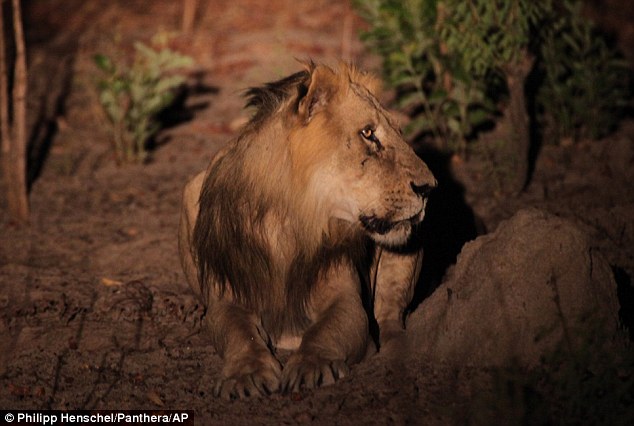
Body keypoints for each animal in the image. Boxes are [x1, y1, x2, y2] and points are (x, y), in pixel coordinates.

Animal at [178, 60, 434, 400]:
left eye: (399, 132)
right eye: (368, 133)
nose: (429, 187)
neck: (291, 220)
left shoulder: (344, 295)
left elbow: (327, 331)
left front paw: (312, 365)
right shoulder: (230, 292)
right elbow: (238, 332)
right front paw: (246, 374)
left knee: (390, 312)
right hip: (191, 191)